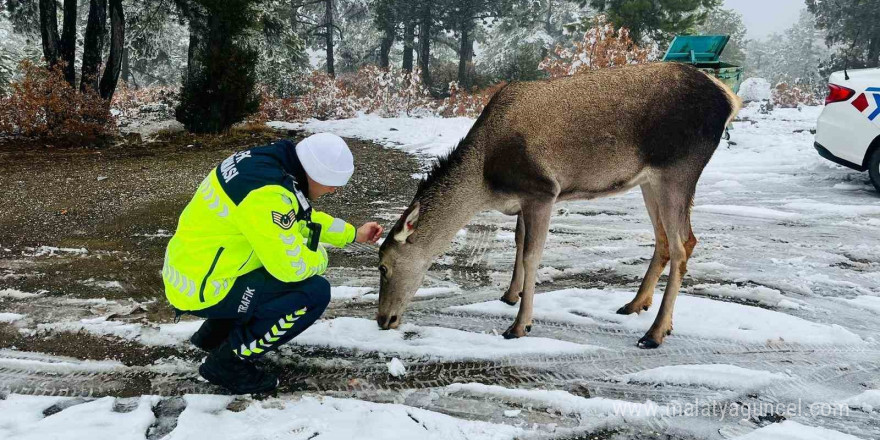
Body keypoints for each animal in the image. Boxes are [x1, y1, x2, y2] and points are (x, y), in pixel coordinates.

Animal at [374, 62, 740, 350]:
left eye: (383, 266)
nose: (382, 319)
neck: (485, 182)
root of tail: (729, 99)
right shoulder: (523, 199)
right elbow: (519, 243)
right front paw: (510, 295)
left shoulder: (542, 190)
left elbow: (532, 255)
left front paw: (519, 325)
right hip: (649, 181)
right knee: (664, 239)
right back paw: (636, 304)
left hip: (678, 169)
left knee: (683, 244)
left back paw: (655, 332)